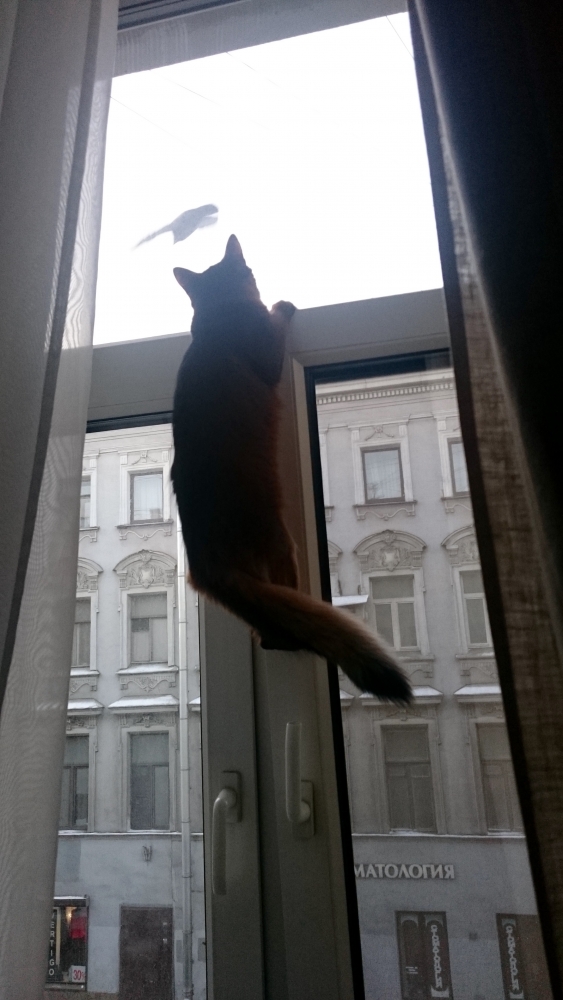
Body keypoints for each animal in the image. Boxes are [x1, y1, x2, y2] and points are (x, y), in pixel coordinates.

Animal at [171, 235, 411, 702]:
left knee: (267, 629)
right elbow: (276, 325)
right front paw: (282, 305)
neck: (218, 314)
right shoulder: (265, 355)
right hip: (283, 546)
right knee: (282, 621)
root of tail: (208, 564)